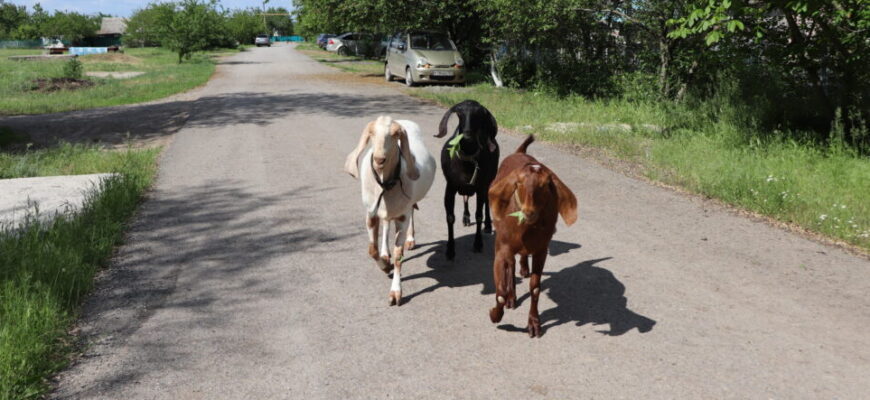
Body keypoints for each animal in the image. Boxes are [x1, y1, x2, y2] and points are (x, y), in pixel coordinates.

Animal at [345, 116, 436, 306]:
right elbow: (372, 250)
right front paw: (385, 266)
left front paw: (395, 292)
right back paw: (385, 253)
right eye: (372, 133)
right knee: (386, 222)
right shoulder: (371, 213)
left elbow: (398, 254)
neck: (385, 185)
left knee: (411, 213)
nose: (379, 159)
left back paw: (410, 240)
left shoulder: (402, 216)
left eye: (395, 135)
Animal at [434, 100, 500, 260]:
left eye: (479, 114)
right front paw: (450, 250)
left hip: (489, 181)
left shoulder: (481, 186)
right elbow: (450, 217)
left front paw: (478, 244)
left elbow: (479, 214)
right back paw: (465, 217)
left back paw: (488, 226)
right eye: (459, 113)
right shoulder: (450, 187)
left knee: (486, 202)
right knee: (465, 198)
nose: (467, 138)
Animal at [487, 135, 578, 337]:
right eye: (518, 183)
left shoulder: (541, 251)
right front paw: (495, 314)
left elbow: (535, 288)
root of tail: (520, 152)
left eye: (544, 186)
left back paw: (523, 269)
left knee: (520, 258)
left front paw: (534, 323)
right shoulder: (501, 249)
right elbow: (500, 292)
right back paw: (512, 296)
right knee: (511, 265)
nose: (528, 212)